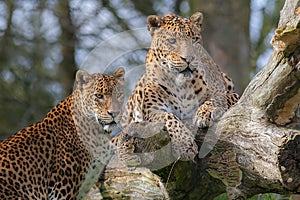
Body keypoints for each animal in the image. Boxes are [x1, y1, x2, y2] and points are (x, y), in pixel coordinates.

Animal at [115, 11, 239, 163]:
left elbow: (224, 96)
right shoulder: (153, 110)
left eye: (194, 39)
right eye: (172, 41)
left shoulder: (230, 92)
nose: (189, 59)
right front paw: (185, 145)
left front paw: (206, 112)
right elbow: (170, 118)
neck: (182, 85)